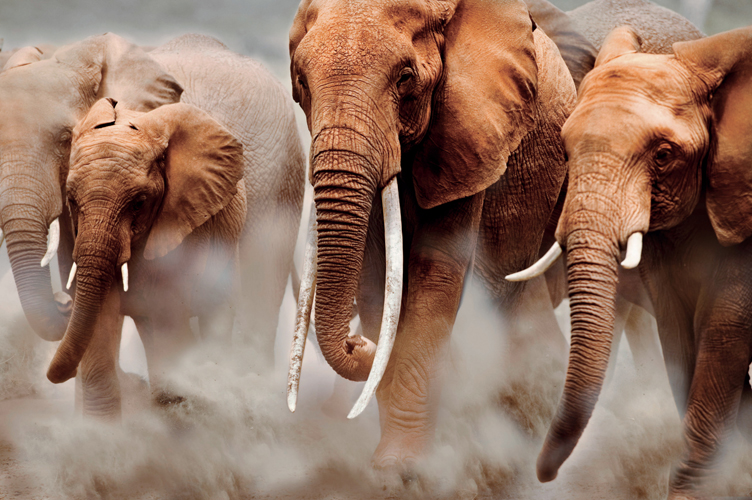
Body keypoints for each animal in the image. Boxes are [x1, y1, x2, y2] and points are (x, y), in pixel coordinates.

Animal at [284, 0, 580, 470]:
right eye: (301, 81)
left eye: (405, 77)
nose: (357, 343)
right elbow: (377, 278)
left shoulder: (470, 133)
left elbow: (436, 269)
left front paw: (401, 467)